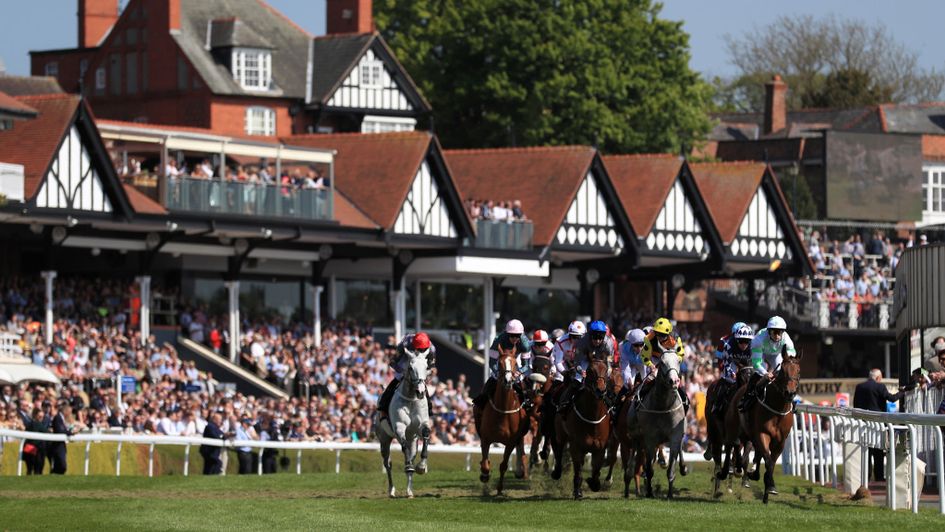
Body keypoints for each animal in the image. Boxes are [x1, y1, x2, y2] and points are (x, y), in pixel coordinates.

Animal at [377, 349, 431, 498]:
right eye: (410, 368)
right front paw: (411, 466)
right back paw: (391, 490)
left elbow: (426, 435)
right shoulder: (399, 427)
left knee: (410, 456)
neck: (411, 399)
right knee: (387, 463)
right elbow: (403, 445)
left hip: (413, 440)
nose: (420, 392)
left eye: (426, 367)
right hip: (384, 438)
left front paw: (422, 466)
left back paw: (409, 491)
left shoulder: (421, 426)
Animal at [474, 344, 530, 495]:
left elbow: (504, 465)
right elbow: (485, 463)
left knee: (521, 450)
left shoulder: (511, 442)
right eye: (499, 363)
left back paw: (522, 471)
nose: (508, 381)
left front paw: (499, 489)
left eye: (515, 363)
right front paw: (484, 475)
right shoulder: (486, 439)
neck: (503, 411)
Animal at [551, 359, 611, 499]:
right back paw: (556, 472)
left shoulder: (600, 448)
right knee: (558, 450)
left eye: (606, 370)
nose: (600, 390)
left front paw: (593, 482)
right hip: (560, 435)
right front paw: (578, 491)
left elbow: (596, 471)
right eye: (589, 370)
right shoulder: (576, 446)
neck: (593, 418)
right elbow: (578, 470)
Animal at [625, 350, 687, 499]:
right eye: (662, 362)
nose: (674, 381)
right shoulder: (650, 438)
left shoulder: (675, 436)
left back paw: (682, 467)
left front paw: (670, 494)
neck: (663, 407)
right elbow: (649, 468)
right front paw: (649, 492)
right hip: (636, 437)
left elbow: (671, 467)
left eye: (678, 361)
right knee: (634, 456)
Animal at [727, 351, 801, 504]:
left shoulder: (780, 441)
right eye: (783, 371)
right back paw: (735, 471)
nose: (790, 393)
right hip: (737, 430)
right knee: (735, 448)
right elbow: (768, 461)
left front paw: (768, 489)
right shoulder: (762, 434)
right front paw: (768, 486)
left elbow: (770, 462)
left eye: (798, 371)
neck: (777, 408)